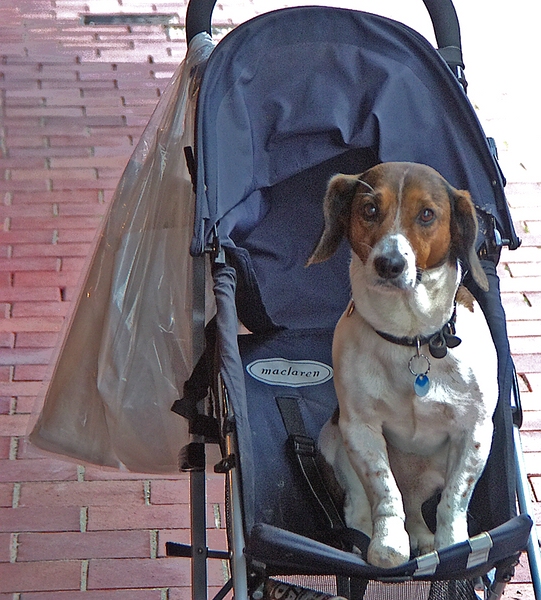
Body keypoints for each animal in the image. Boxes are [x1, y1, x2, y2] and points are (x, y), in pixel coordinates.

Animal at [306, 162, 496, 568]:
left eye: (426, 214)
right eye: (369, 209)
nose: (390, 264)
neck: (412, 338)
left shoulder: (474, 432)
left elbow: (453, 502)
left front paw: (452, 546)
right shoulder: (360, 429)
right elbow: (385, 491)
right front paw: (389, 545)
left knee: (418, 506)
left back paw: (425, 538)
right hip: (334, 442)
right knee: (370, 507)